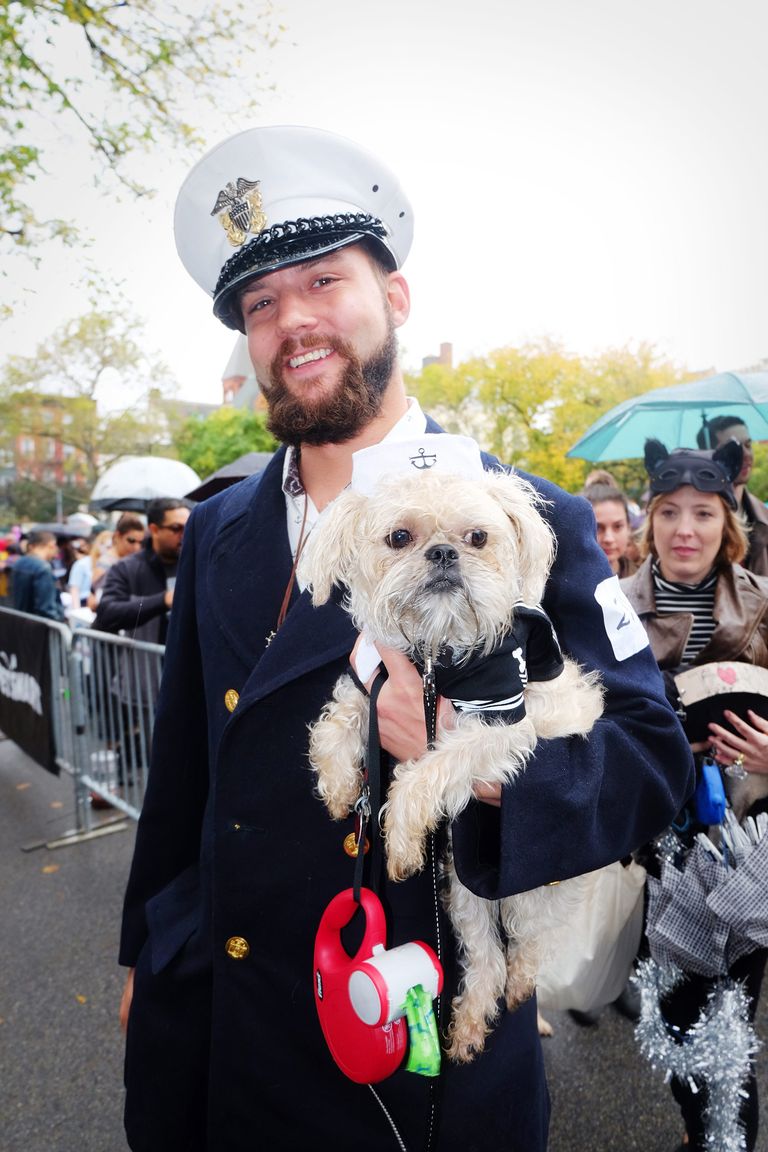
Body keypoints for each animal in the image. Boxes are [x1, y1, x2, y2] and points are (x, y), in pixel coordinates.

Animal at [301, 463, 607, 1055]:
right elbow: (334, 724)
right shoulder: (369, 679)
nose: (443, 553)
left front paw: (399, 837)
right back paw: (466, 1027)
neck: (435, 654)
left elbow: (431, 770)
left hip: (533, 887)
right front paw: (339, 787)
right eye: (400, 537)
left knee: (530, 941)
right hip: (464, 888)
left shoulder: (501, 725)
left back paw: (522, 985)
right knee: (486, 957)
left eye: (478, 537)